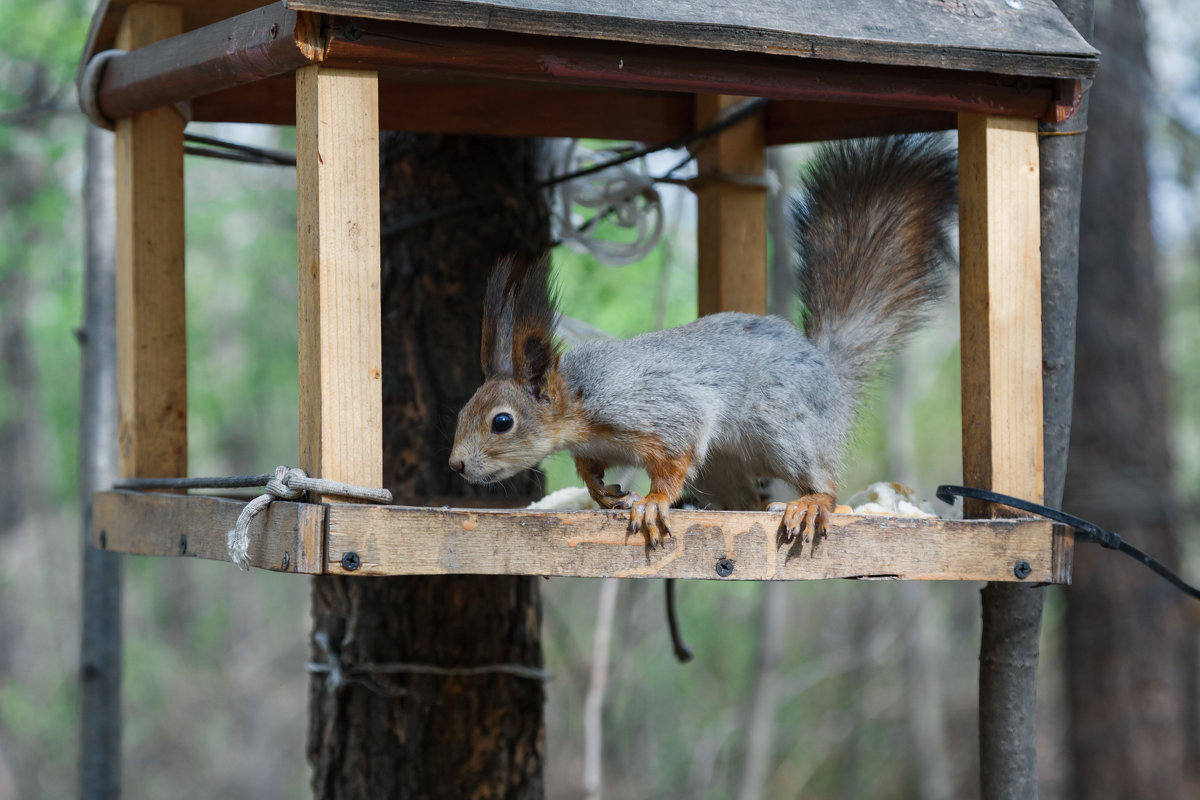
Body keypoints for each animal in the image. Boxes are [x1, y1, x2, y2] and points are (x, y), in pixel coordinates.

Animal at [451, 136, 955, 551]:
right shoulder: (595, 444)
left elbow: (675, 455)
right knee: (746, 502)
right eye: (463, 410)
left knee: (824, 482)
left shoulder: (655, 407)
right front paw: (598, 491)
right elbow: (590, 468)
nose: (456, 466)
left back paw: (809, 503)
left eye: (502, 422)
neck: (577, 401)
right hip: (724, 468)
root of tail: (827, 369)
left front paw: (653, 501)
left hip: (786, 427)